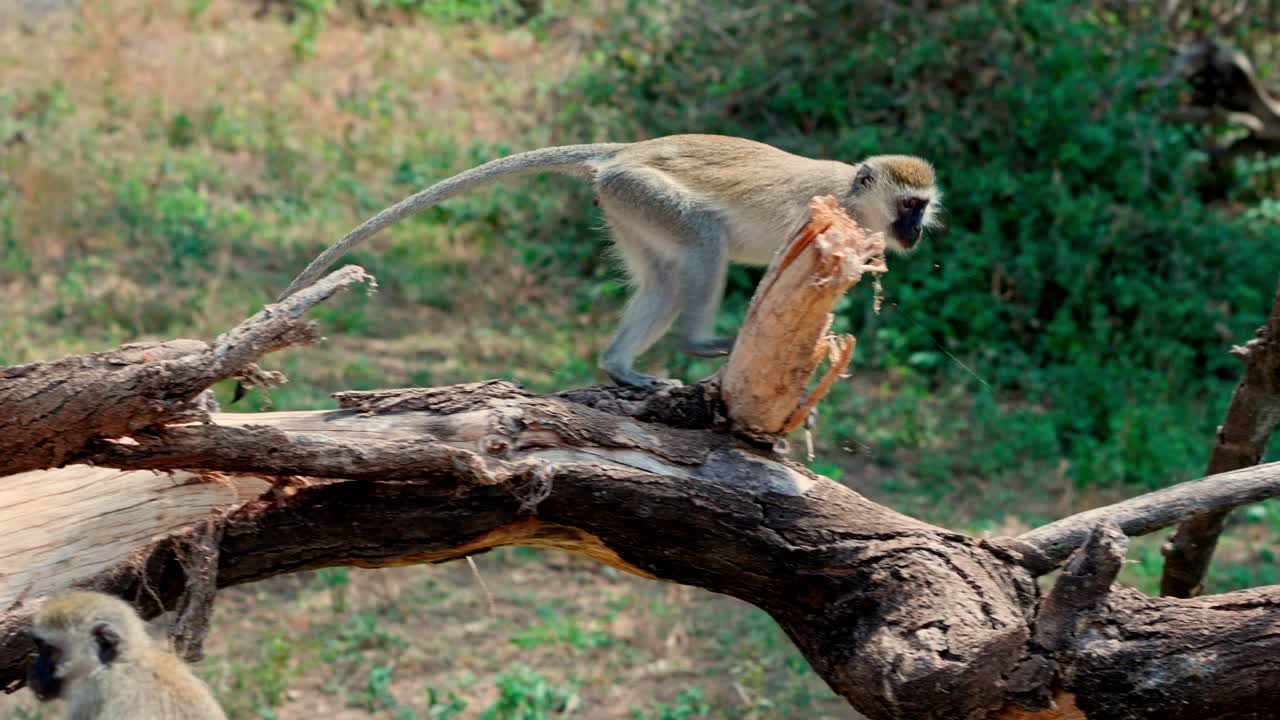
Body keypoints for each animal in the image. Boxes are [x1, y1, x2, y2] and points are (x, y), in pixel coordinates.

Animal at [279, 134, 941, 389]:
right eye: (908, 205)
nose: (914, 231)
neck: (853, 198)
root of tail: (628, 150)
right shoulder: (817, 215)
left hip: (626, 205)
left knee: (664, 279)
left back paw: (619, 366)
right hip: (646, 192)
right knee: (704, 244)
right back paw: (697, 341)